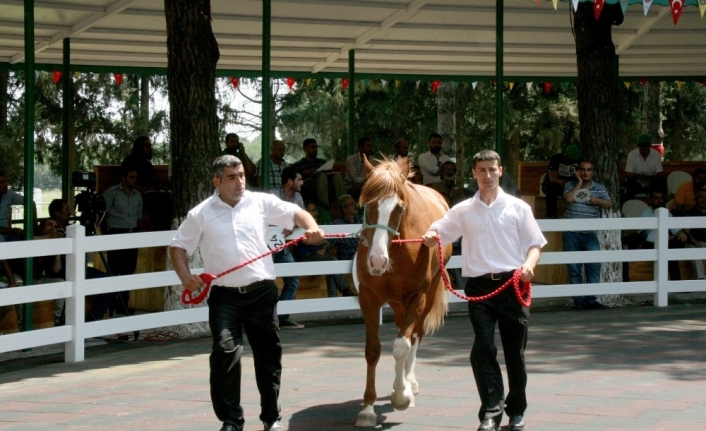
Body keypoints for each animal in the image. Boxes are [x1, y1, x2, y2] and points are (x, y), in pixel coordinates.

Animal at [354, 156, 448, 428]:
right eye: (368, 206)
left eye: (400, 208)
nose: (376, 260)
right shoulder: (369, 298)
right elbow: (372, 350)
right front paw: (367, 408)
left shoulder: (417, 297)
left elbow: (401, 346)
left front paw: (401, 395)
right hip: (397, 304)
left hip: (427, 296)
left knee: (414, 335)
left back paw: (409, 383)